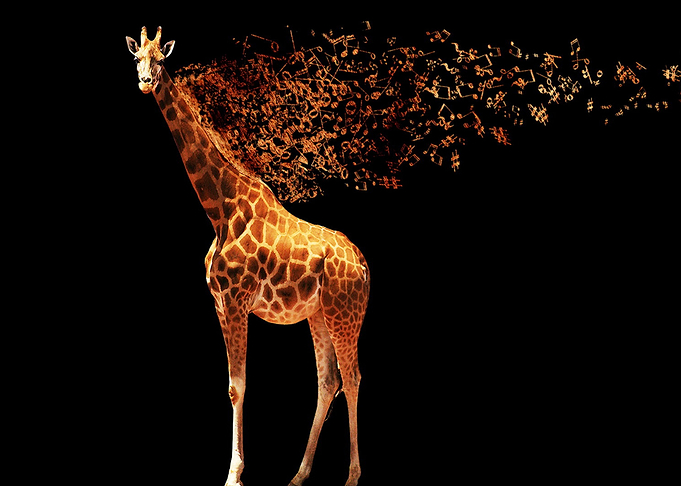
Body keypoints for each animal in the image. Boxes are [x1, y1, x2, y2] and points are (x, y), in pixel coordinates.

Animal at [126, 27, 370, 486]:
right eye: (136, 58)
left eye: (161, 60)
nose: (146, 82)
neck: (219, 209)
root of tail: (364, 264)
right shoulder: (220, 304)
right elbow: (231, 385)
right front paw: (236, 471)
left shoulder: (238, 301)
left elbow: (239, 385)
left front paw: (233, 474)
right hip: (318, 314)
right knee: (328, 380)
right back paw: (299, 474)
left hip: (345, 312)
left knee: (352, 376)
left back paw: (351, 475)